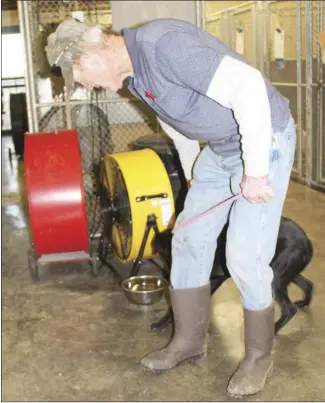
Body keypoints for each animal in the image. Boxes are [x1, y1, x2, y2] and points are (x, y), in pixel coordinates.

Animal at [152, 218, 314, 334]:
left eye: (167, 255)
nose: (167, 275)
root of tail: (306, 242)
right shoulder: (214, 279)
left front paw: (163, 322)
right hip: (281, 273)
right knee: (308, 284)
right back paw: (304, 303)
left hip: (274, 279)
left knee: (290, 309)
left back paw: (273, 330)